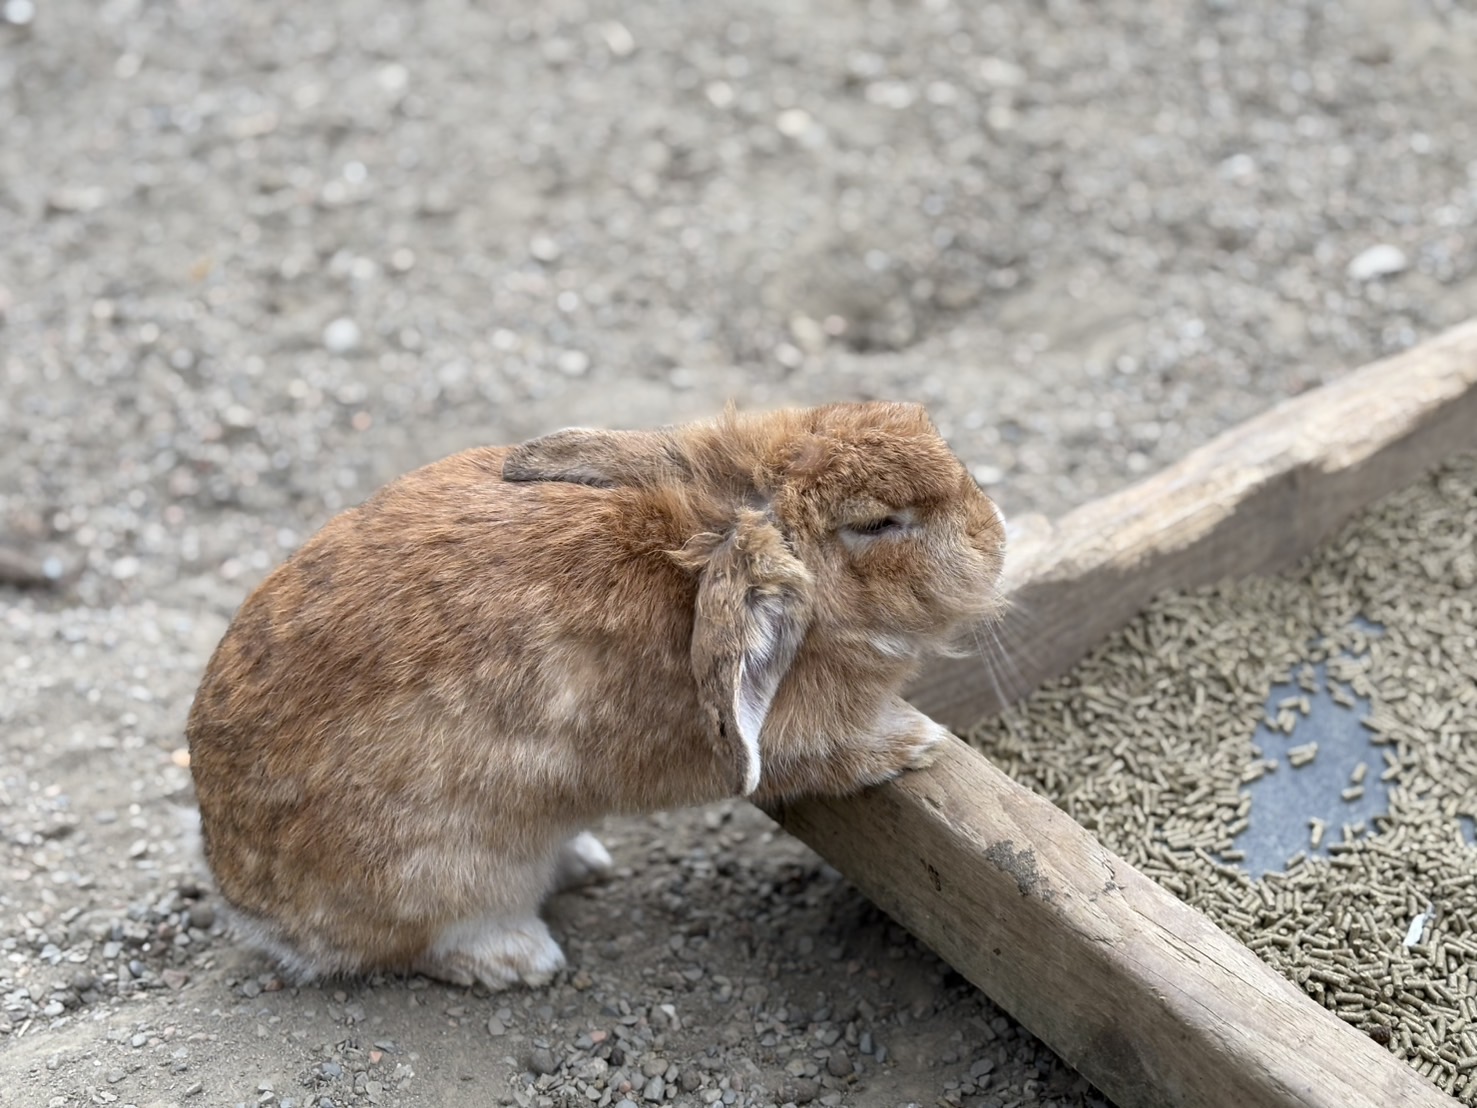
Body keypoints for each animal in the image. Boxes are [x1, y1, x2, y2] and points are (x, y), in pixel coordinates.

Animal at [184, 404, 1010, 992]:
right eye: (876, 524)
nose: (995, 538)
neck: (709, 546)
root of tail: (252, 908)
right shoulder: (776, 746)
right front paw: (916, 740)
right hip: (450, 871)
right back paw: (519, 959)